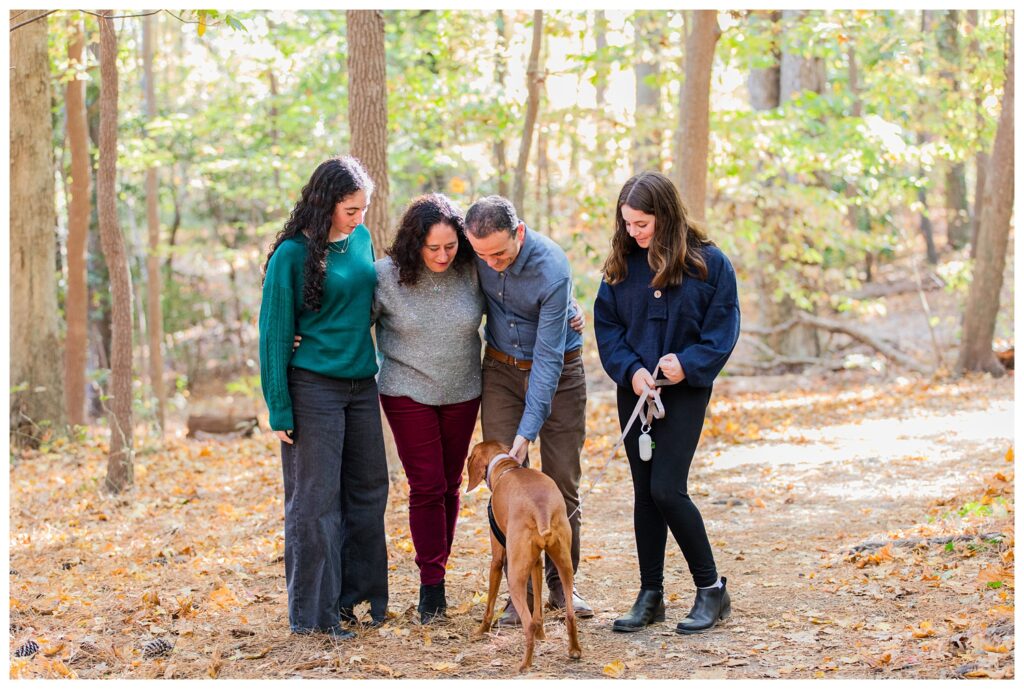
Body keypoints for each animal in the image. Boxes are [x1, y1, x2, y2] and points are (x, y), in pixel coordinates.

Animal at [466, 440, 581, 671]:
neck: (505, 466)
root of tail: (541, 511)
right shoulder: (536, 564)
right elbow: (538, 610)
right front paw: (542, 635)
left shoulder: (497, 560)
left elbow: (489, 605)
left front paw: (481, 631)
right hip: (564, 565)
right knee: (569, 614)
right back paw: (574, 650)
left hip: (514, 577)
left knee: (527, 625)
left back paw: (525, 664)